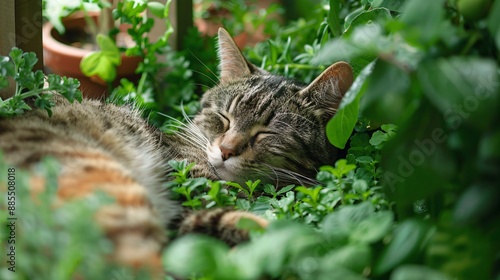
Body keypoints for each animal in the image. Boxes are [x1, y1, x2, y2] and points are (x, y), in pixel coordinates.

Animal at [0, 28, 352, 272]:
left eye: (266, 132)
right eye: (224, 118)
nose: (226, 151)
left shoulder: (188, 220)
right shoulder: (190, 186)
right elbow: (255, 223)